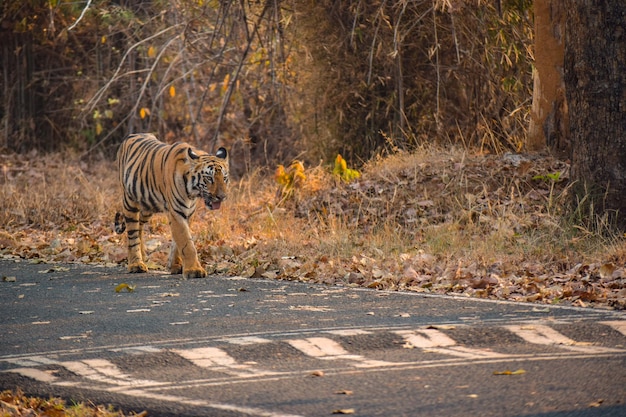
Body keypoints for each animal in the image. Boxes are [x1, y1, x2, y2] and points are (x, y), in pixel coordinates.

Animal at [113, 132, 228, 278]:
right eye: (209, 178)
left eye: (225, 178)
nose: (222, 197)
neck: (192, 192)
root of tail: (131, 135)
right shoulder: (177, 212)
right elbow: (186, 243)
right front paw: (194, 270)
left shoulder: (187, 213)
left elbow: (177, 242)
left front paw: (176, 266)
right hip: (130, 202)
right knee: (132, 233)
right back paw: (136, 264)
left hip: (147, 205)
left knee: (139, 227)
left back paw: (143, 257)